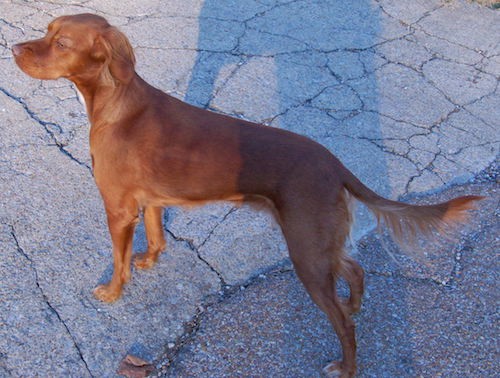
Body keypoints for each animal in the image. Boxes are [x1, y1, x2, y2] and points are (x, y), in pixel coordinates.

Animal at [12, 14, 480, 376]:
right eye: (46, 30)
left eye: (62, 43)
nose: (14, 49)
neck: (115, 101)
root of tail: (333, 164)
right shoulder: (152, 201)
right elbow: (156, 237)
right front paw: (149, 260)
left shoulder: (118, 207)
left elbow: (118, 260)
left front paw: (112, 292)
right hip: (320, 243)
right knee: (355, 270)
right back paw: (355, 304)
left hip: (306, 251)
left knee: (344, 324)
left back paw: (346, 366)